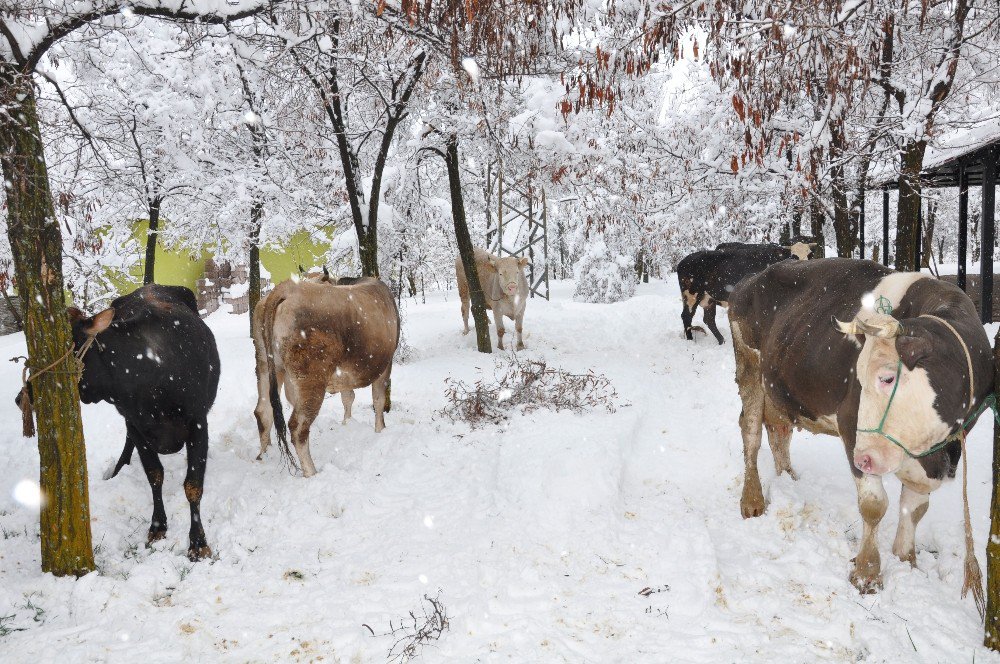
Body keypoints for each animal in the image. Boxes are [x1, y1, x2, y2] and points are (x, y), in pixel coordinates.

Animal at [60, 286, 219, 560]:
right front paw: (158, 526)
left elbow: (193, 485)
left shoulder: (198, 423)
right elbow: (154, 475)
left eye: (68, 348)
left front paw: (198, 542)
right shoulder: (134, 423)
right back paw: (118, 467)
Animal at [252, 274, 400, 478]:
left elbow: (348, 397)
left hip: (266, 365)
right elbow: (378, 400)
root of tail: (286, 288)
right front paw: (380, 430)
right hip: (311, 377)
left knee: (263, 412)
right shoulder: (385, 364)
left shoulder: (346, 374)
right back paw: (311, 473)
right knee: (298, 427)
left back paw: (263, 456)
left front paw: (347, 423)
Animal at [676, 240, 816, 342]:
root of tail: (683, 262)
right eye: (794, 256)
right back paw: (690, 340)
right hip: (691, 294)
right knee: (687, 316)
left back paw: (722, 341)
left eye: (810, 255)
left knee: (709, 320)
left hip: (709, 298)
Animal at [728, 260, 992, 596]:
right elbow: (874, 504)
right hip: (748, 363)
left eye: (887, 378)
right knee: (750, 431)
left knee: (778, 429)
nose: (863, 459)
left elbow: (915, 508)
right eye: (859, 380)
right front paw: (867, 573)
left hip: (780, 384)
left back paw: (789, 479)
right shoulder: (851, 425)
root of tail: (753, 277)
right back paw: (752, 501)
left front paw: (907, 561)